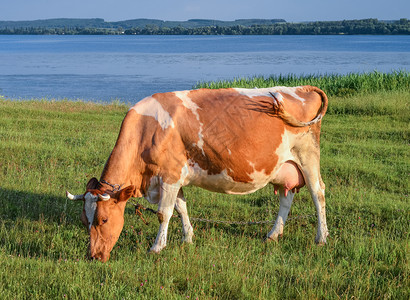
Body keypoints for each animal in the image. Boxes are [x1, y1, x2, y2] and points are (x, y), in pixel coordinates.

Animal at [67, 85, 330, 262]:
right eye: (84, 220)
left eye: (103, 219)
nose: (94, 256)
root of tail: (302, 87)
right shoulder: (175, 178)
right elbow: (181, 208)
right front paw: (188, 238)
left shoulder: (170, 176)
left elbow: (164, 213)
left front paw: (156, 247)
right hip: (285, 167)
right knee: (286, 198)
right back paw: (274, 234)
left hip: (308, 156)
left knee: (318, 194)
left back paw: (322, 238)